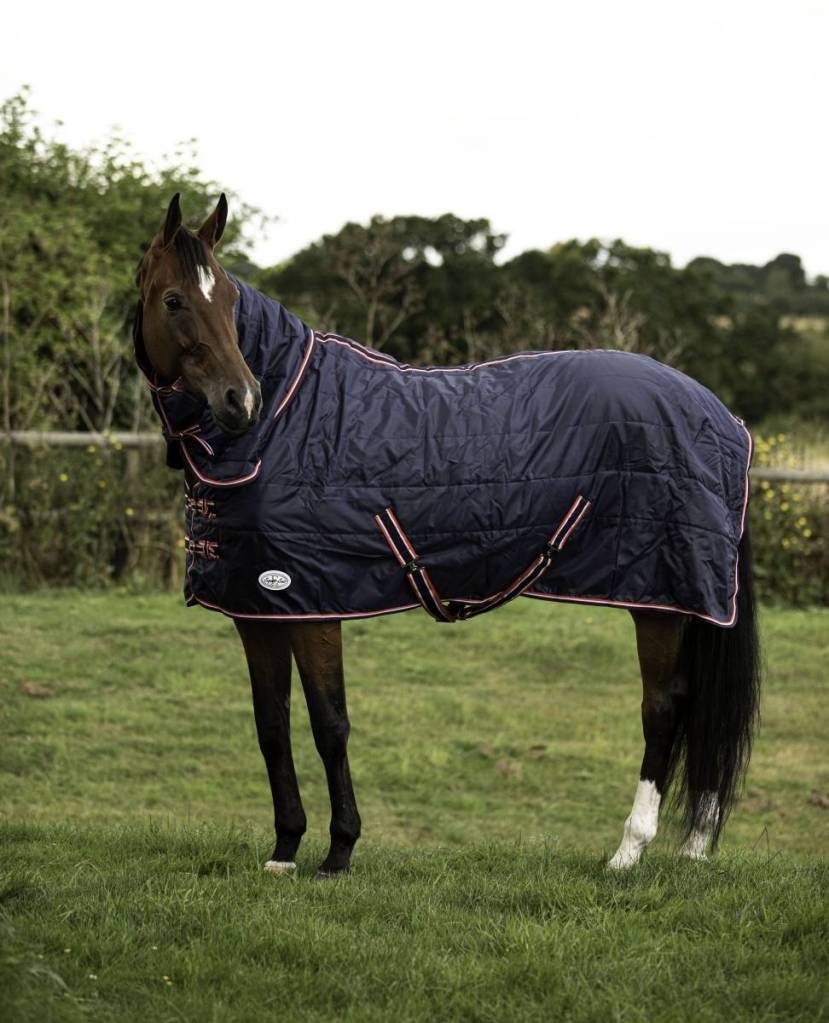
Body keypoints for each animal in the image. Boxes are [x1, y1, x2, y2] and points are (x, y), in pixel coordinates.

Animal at [133, 193, 760, 877]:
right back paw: (693, 848)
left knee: (664, 707)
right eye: (175, 300)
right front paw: (285, 849)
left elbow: (330, 723)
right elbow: (271, 726)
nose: (241, 400)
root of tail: (719, 414)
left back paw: (629, 851)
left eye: (228, 300)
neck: (288, 420)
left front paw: (339, 850)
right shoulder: (258, 608)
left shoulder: (313, 604)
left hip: (660, 597)